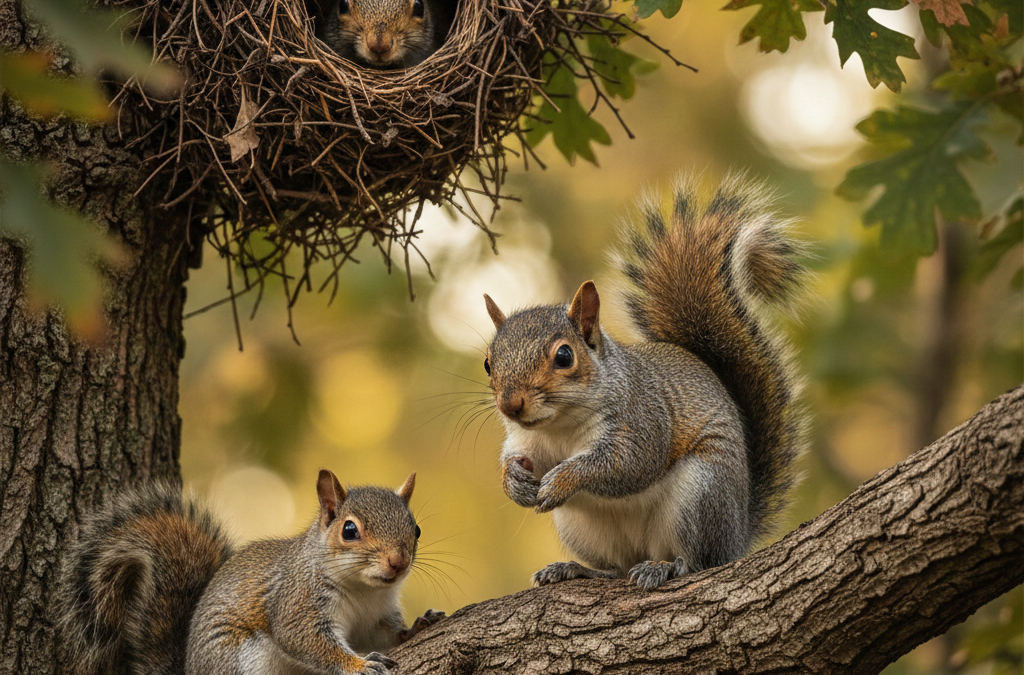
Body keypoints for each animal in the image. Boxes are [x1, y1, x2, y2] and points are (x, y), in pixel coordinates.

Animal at [59, 469, 444, 675]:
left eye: (417, 530)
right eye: (349, 531)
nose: (398, 562)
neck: (365, 590)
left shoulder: (375, 617)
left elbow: (387, 636)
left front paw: (418, 626)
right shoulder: (296, 602)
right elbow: (306, 640)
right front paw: (358, 665)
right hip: (241, 659)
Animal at [482, 174, 807, 591]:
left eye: (564, 356)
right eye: (488, 364)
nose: (510, 405)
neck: (559, 426)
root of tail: (738, 535)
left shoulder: (642, 418)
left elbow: (625, 464)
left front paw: (564, 479)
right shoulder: (526, 441)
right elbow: (516, 460)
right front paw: (514, 481)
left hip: (700, 496)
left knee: (699, 561)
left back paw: (665, 567)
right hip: (582, 528)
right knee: (617, 568)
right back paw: (574, 568)